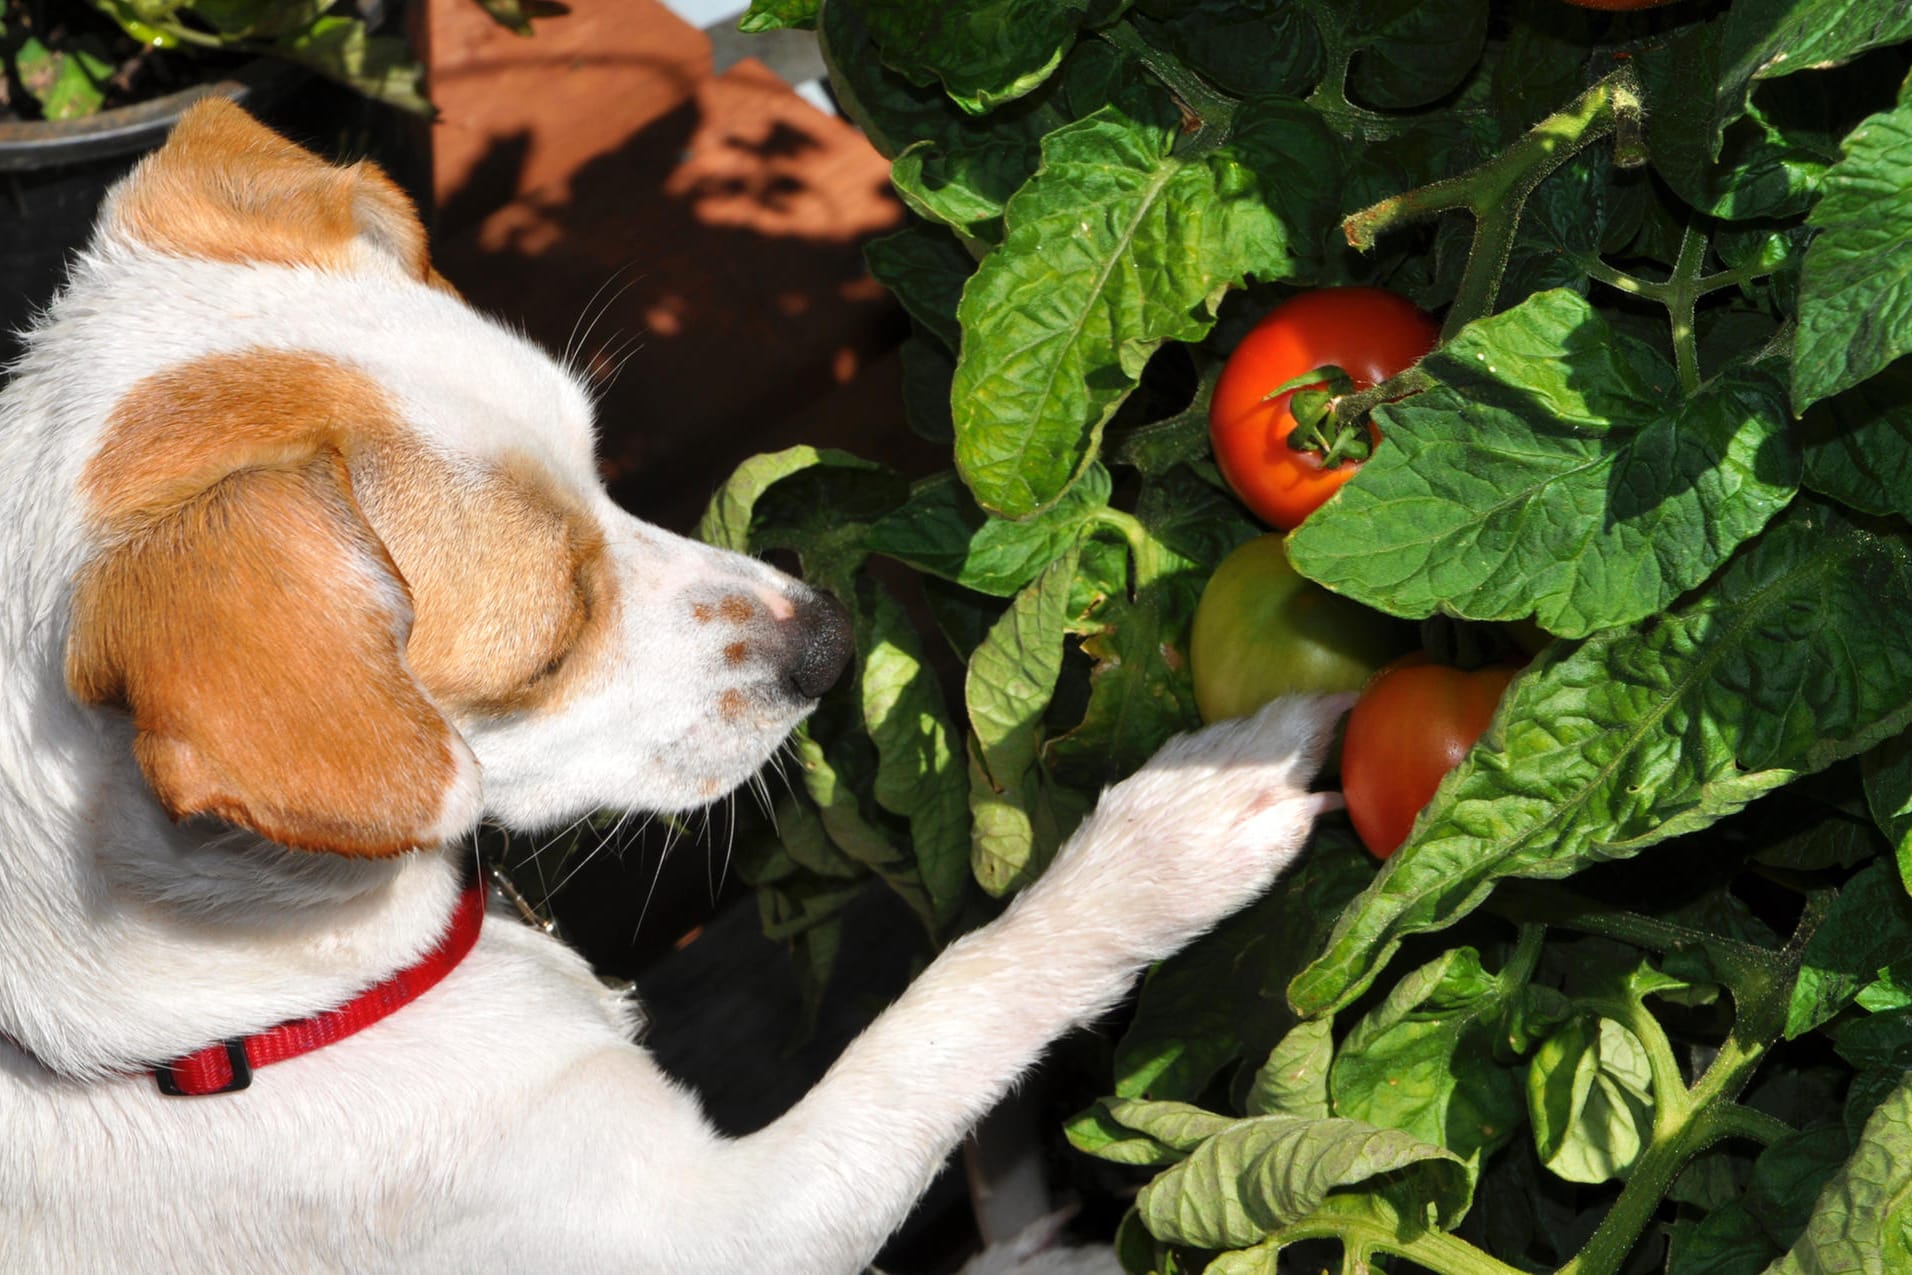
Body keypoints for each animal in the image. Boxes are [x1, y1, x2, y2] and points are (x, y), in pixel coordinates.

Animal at [0, 99, 1346, 1275]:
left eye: (604, 468)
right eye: (547, 653)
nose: (828, 641)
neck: (215, 1030)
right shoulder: (737, 1225)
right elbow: (955, 1003)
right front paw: (1169, 839)